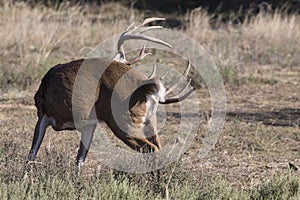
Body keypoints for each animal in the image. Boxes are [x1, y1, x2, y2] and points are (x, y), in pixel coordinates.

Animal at [27, 17, 193, 170]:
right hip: (150, 122)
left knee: (151, 149)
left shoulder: (43, 113)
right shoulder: (89, 124)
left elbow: (32, 154)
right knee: (158, 147)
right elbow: (79, 160)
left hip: (122, 121)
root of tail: (145, 87)